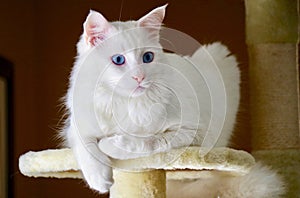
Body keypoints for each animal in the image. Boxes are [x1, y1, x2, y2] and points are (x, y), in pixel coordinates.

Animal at [62, 4, 284, 196]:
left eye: (148, 57)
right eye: (118, 60)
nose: (139, 77)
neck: (127, 103)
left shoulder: (193, 132)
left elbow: (148, 142)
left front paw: (111, 145)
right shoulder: (77, 123)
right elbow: (85, 145)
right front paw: (100, 178)